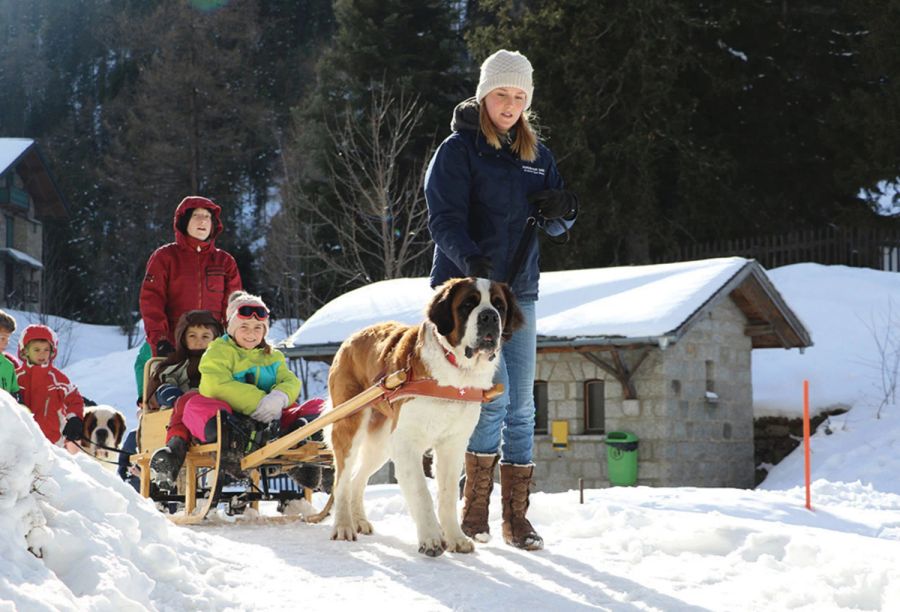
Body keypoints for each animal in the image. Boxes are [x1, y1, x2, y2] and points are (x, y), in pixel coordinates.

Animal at [326, 280, 524, 556]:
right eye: (467, 304)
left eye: (499, 305)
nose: (489, 316)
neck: (455, 372)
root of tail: (350, 339)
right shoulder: (406, 442)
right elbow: (421, 492)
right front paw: (431, 538)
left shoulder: (452, 445)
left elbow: (448, 493)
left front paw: (455, 537)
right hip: (351, 424)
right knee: (342, 481)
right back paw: (344, 526)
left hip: (382, 443)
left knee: (357, 479)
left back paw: (360, 521)